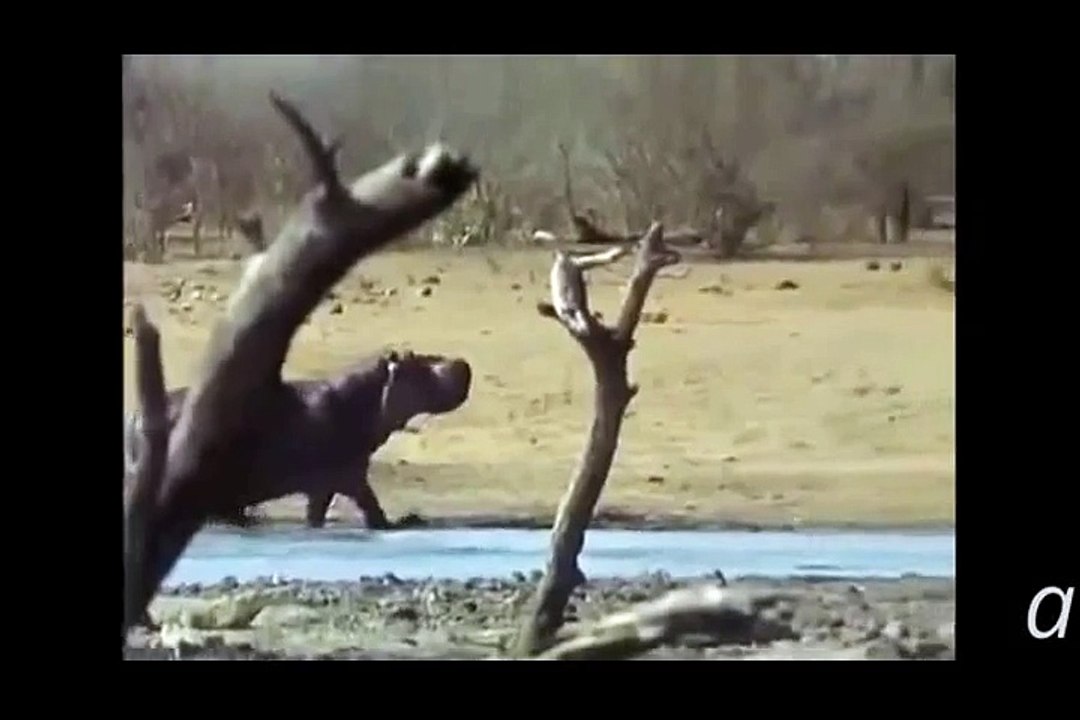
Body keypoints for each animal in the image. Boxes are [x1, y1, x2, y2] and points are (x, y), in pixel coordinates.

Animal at [123, 349, 471, 529]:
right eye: (415, 362)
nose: (463, 363)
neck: (363, 399)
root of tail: (134, 417)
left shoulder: (327, 485)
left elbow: (318, 516)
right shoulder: (347, 477)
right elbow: (372, 509)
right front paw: (398, 523)